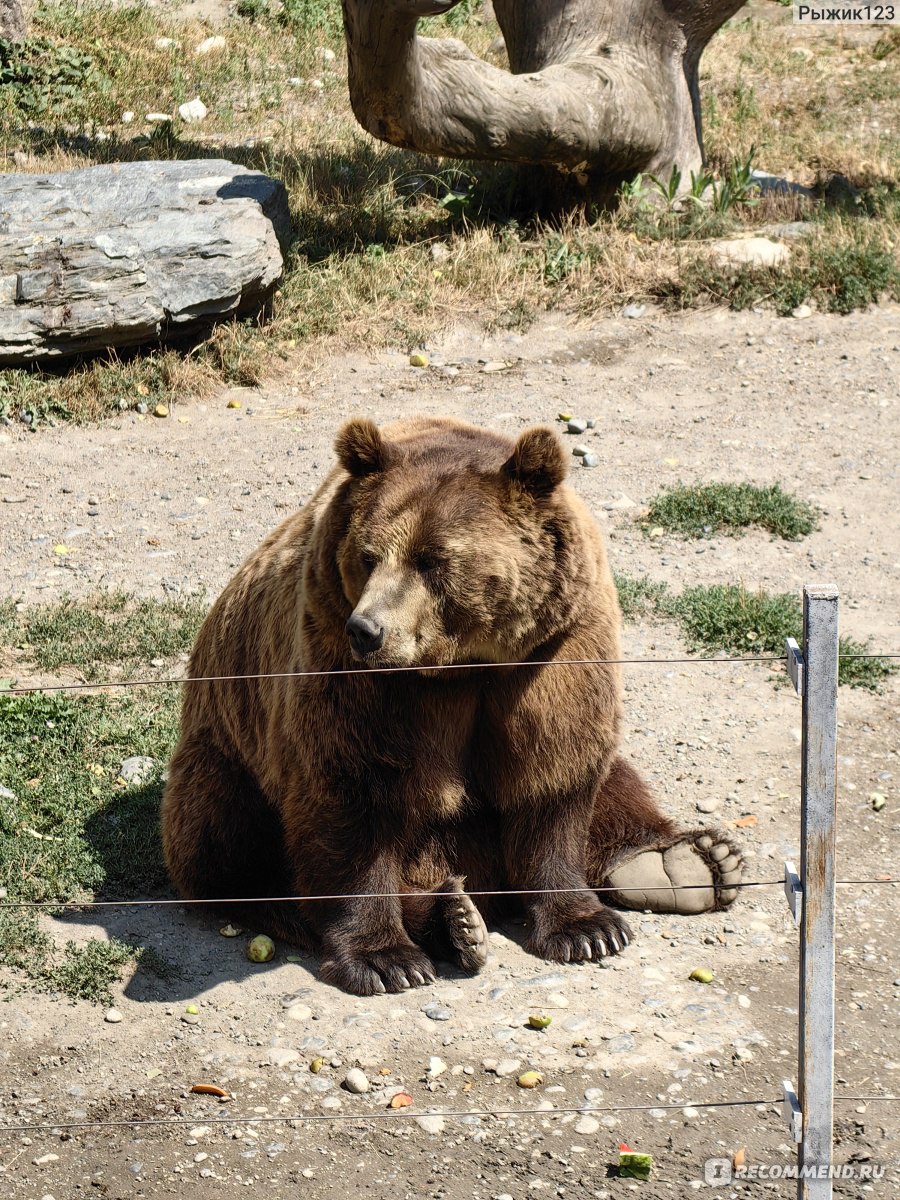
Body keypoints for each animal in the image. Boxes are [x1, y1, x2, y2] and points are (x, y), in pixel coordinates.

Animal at [160, 417, 739, 998]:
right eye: (368, 556)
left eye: (431, 559)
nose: (366, 630)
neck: (463, 665)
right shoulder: (348, 667)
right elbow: (352, 794)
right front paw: (386, 959)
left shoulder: (553, 653)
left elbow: (554, 774)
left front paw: (587, 928)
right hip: (229, 750)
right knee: (229, 834)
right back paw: (453, 918)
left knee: (616, 780)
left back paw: (687, 863)